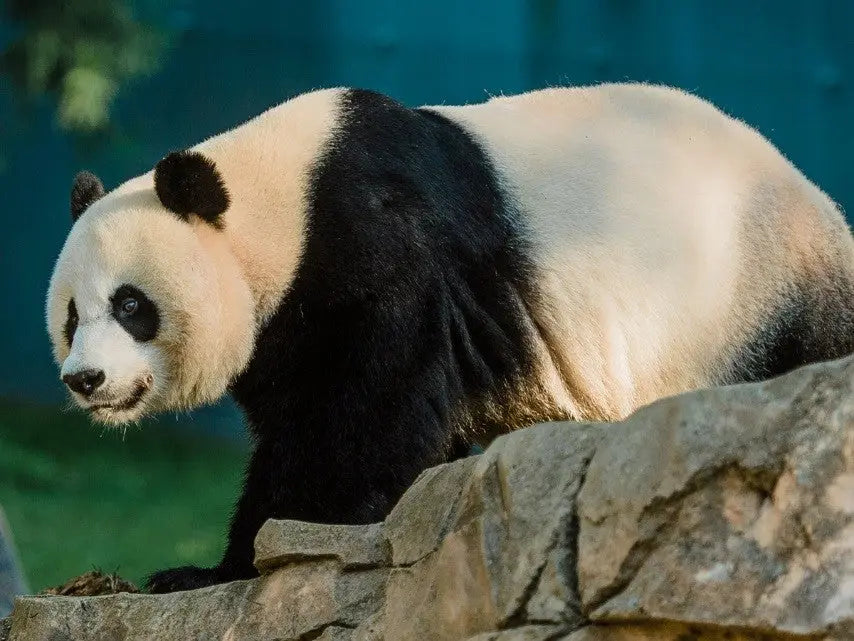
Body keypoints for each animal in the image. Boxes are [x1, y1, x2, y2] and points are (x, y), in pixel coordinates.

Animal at [45, 84, 854, 592]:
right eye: (71, 317)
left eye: (131, 304)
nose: (84, 379)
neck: (277, 202)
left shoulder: (375, 244)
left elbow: (362, 422)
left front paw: (227, 564)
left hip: (753, 293)